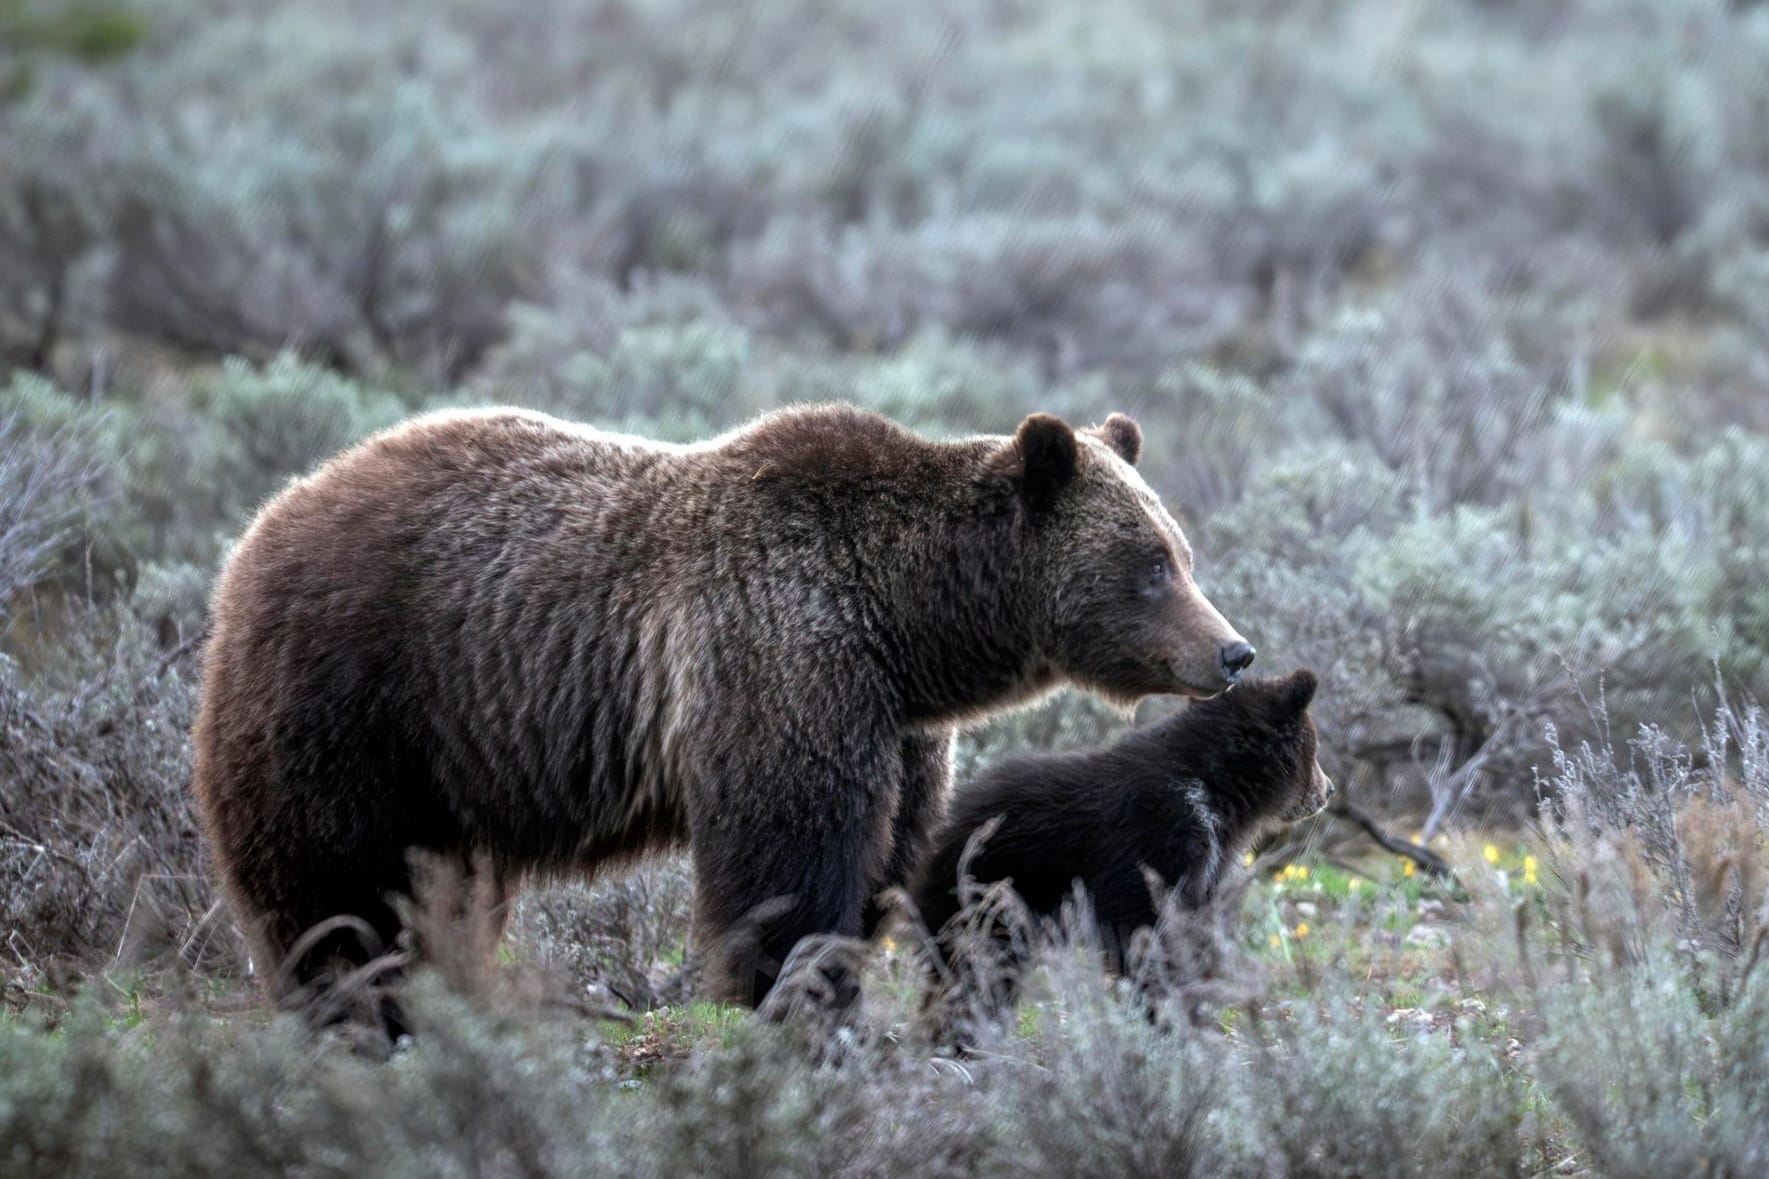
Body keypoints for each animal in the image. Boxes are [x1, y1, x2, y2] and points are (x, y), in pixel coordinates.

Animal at [186, 396, 1252, 1019]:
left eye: (1180, 552)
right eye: (1151, 565)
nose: (1232, 651)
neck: (907, 623)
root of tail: (265, 519)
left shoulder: (895, 723)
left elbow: (885, 854)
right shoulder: (782, 651)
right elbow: (787, 850)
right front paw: (791, 990)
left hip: (445, 759)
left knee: (437, 884)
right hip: (356, 694)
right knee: (333, 878)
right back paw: (350, 997)